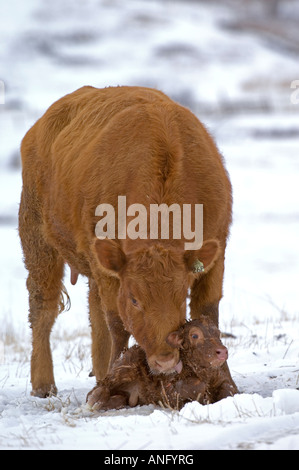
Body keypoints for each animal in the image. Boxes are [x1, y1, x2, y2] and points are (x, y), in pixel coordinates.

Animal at [18, 85, 237, 396]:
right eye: (134, 299)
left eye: (181, 294)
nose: (165, 360)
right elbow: (117, 323)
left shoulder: (216, 250)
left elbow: (209, 312)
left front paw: (227, 382)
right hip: (37, 240)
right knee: (43, 307)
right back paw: (44, 384)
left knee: (93, 311)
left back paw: (99, 372)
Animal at [87, 318, 239, 410]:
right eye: (195, 335)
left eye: (218, 333)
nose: (222, 351)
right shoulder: (170, 392)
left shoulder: (223, 379)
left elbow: (229, 390)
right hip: (124, 367)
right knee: (99, 387)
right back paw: (94, 402)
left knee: (119, 398)